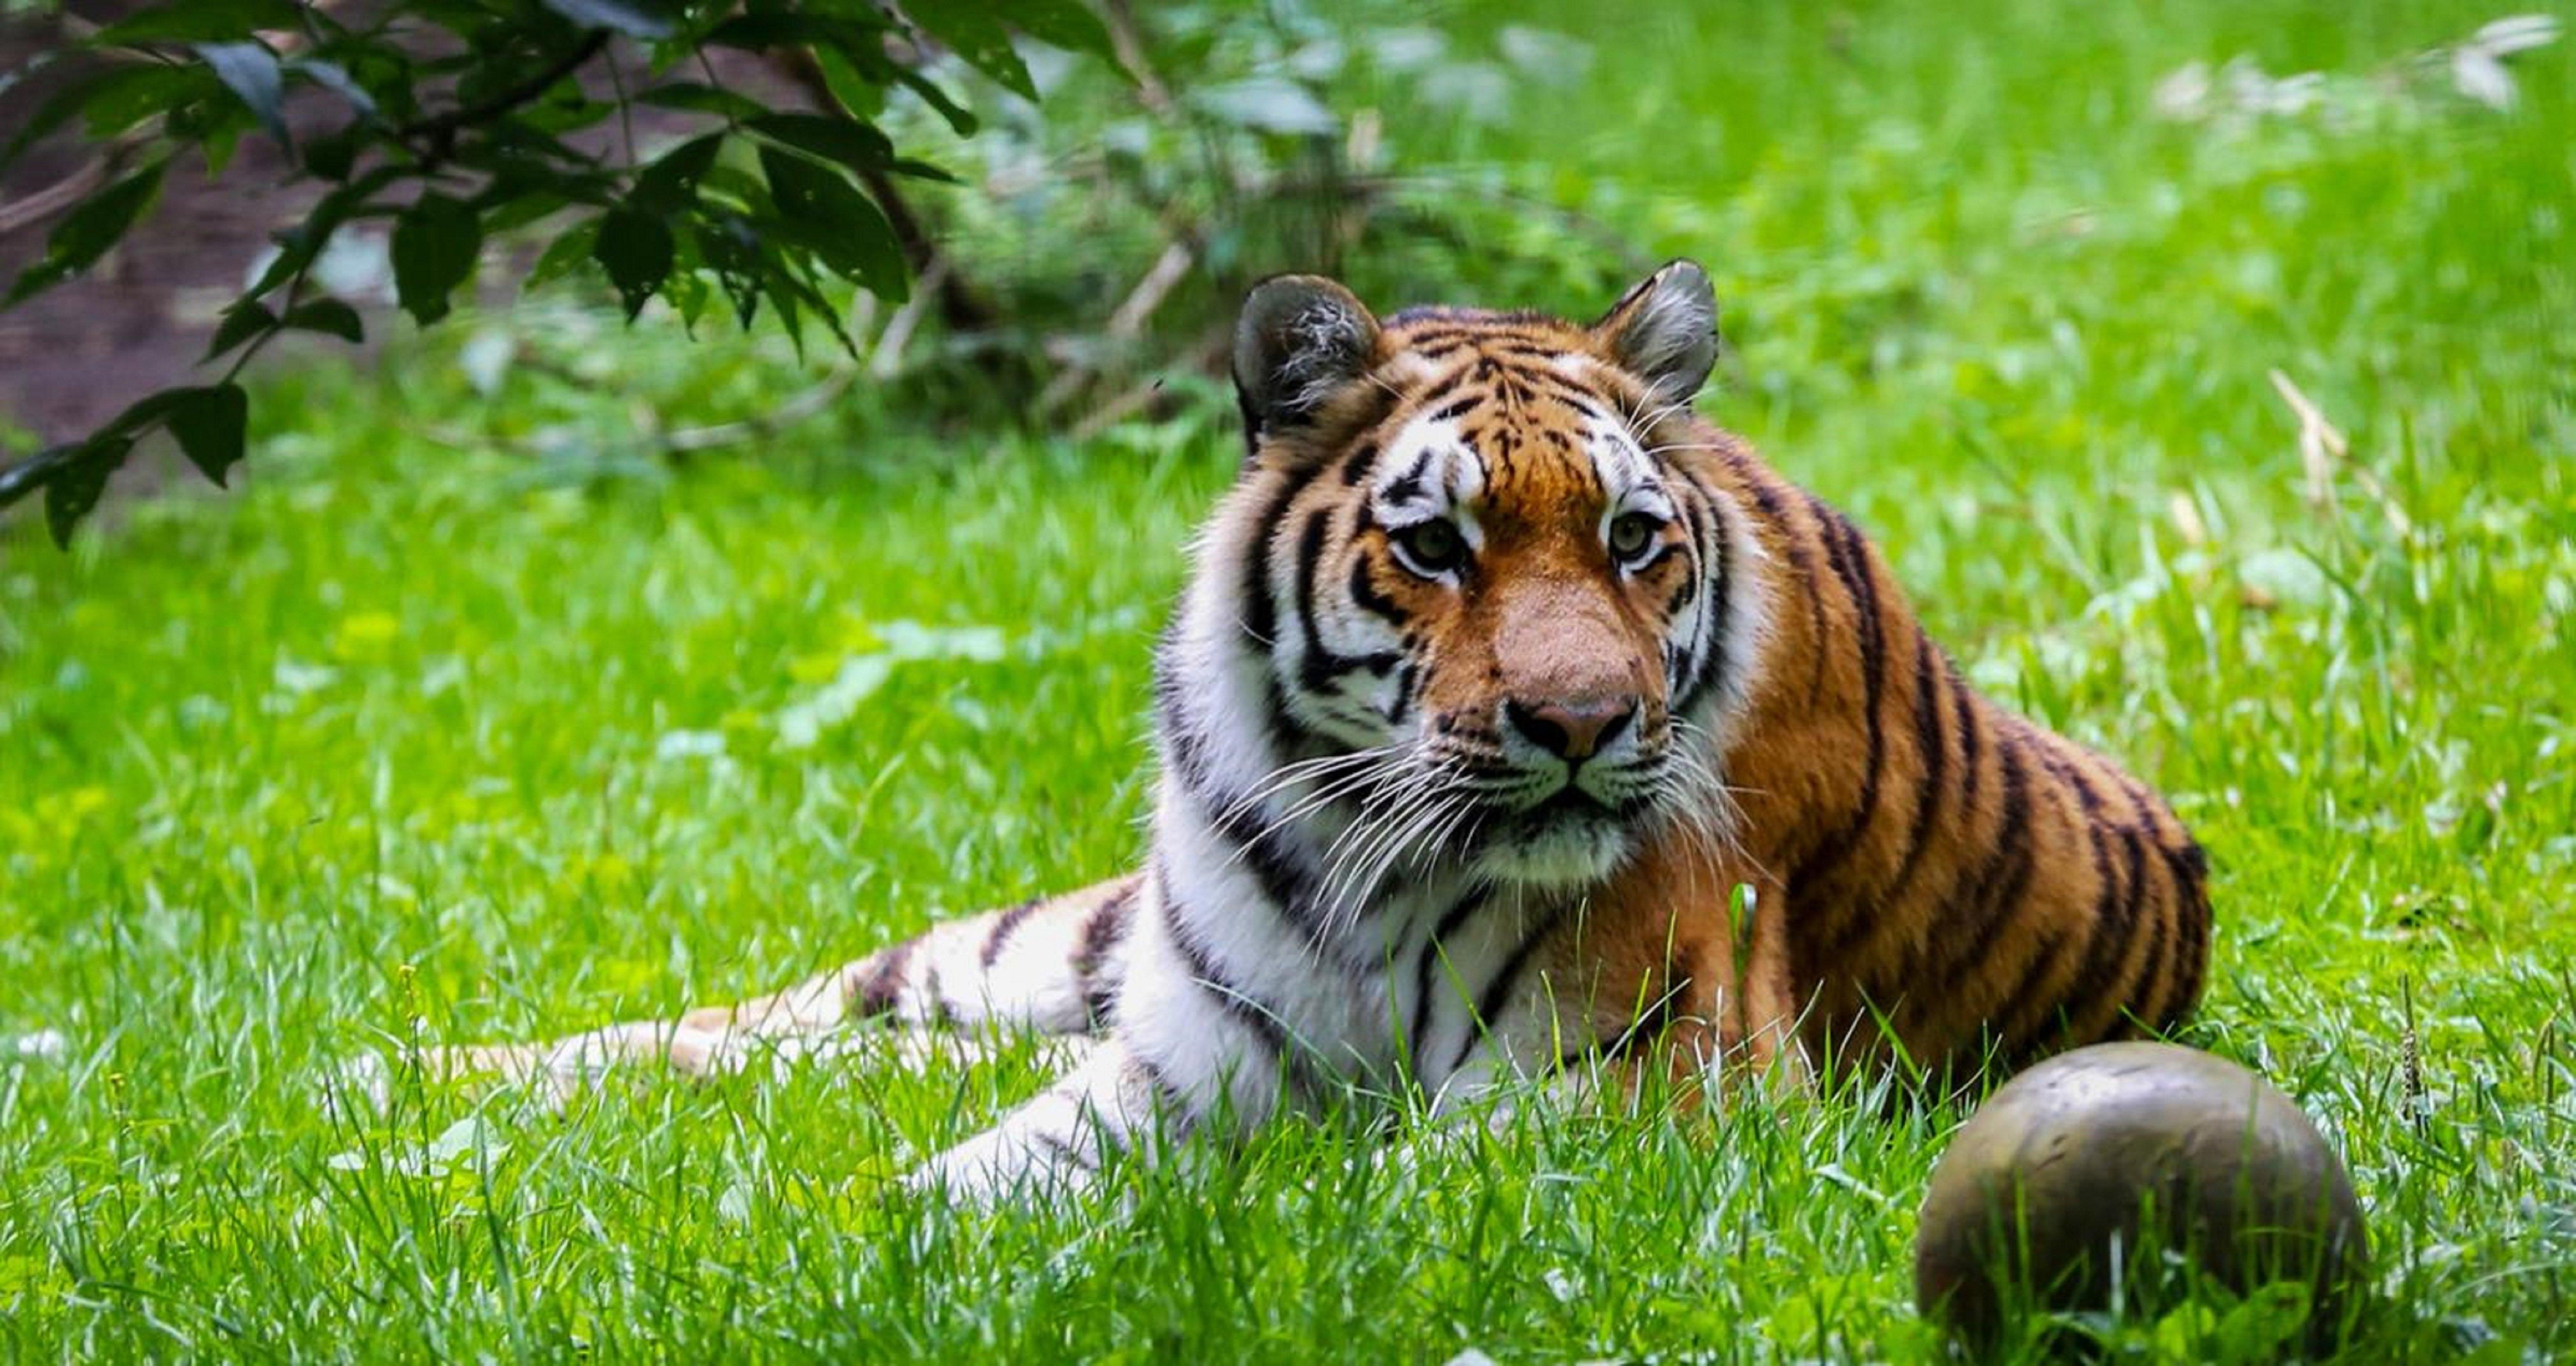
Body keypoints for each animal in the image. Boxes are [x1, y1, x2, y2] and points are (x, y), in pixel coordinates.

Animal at [407, 260, 2215, 1196]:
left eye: (1633, 541)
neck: (1367, 853)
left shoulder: (1632, 1098)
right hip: (1047, 953)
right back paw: (405, 1100)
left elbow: (1348, 1199)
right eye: (1439, 546)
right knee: (809, 1012)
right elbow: (949, 1193)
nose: (1583, 722)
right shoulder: (1170, 1065)